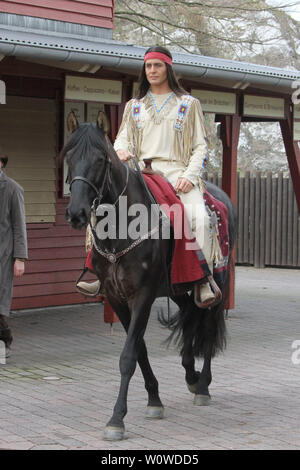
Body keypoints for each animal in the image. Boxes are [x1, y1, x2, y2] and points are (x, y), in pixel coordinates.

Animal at [62, 110, 237, 440]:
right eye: (68, 156)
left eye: (101, 159)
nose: (76, 213)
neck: (123, 227)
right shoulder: (118, 298)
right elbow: (139, 350)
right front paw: (154, 399)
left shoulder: (142, 295)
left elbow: (128, 355)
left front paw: (116, 419)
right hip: (179, 289)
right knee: (191, 317)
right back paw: (191, 374)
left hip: (218, 282)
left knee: (208, 327)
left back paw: (203, 386)